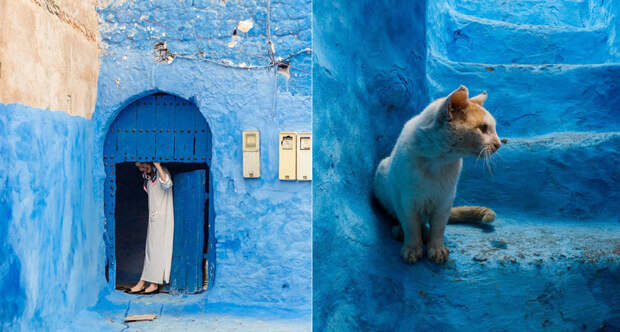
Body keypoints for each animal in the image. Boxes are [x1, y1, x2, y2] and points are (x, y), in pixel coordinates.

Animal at [372, 86, 498, 264]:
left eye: (492, 129)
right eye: (483, 128)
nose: (499, 144)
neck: (438, 161)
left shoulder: (444, 201)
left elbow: (438, 229)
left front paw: (436, 249)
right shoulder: (406, 201)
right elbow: (411, 227)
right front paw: (413, 248)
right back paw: (402, 232)